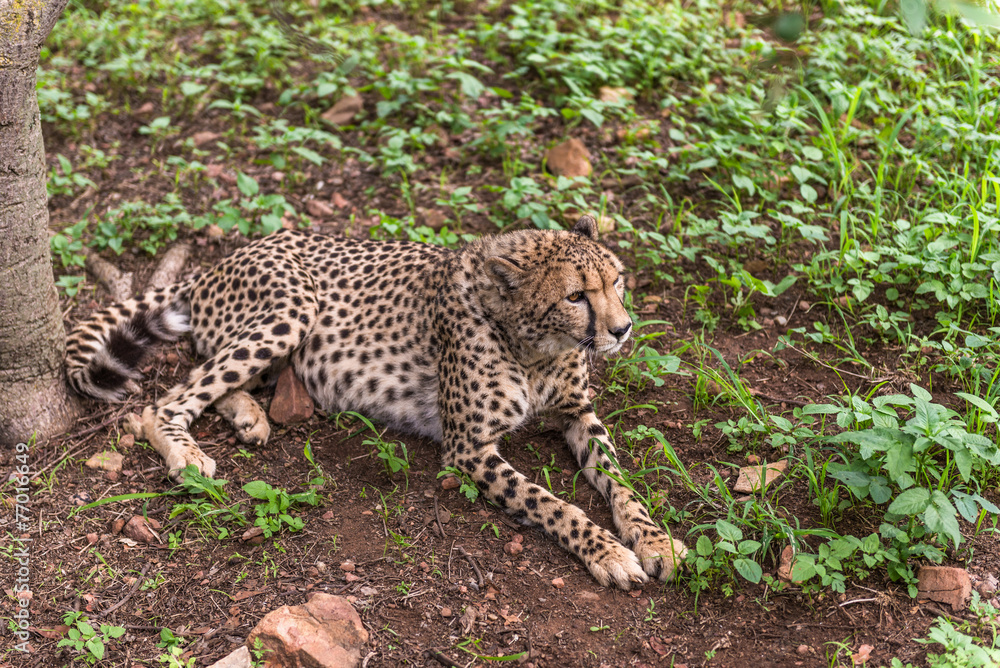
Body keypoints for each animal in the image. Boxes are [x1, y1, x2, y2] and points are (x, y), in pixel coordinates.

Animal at [65, 216, 687, 588]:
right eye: (576, 295)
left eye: (618, 282)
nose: (623, 329)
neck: (534, 344)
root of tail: (222, 260)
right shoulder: (468, 449)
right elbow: (553, 503)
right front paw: (607, 552)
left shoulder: (579, 413)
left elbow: (621, 483)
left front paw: (654, 540)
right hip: (293, 307)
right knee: (164, 400)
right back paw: (187, 455)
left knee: (209, 375)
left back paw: (247, 414)